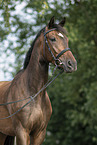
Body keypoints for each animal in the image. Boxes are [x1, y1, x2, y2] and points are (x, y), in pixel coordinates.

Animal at [0, 16, 77, 144]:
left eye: (66, 39)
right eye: (52, 39)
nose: (72, 64)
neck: (34, 94)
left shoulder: (39, 133)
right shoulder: (22, 132)